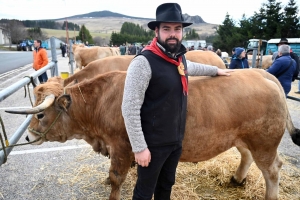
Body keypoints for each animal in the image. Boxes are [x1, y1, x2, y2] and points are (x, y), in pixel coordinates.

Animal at [5, 69, 300, 200]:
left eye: (40, 114)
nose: (28, 137)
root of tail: (262, 73)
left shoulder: (121, 146)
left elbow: (117, 177)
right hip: (244, 138)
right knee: (247, 157)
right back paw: (236, 180)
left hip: (264, 143)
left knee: (273, 170)